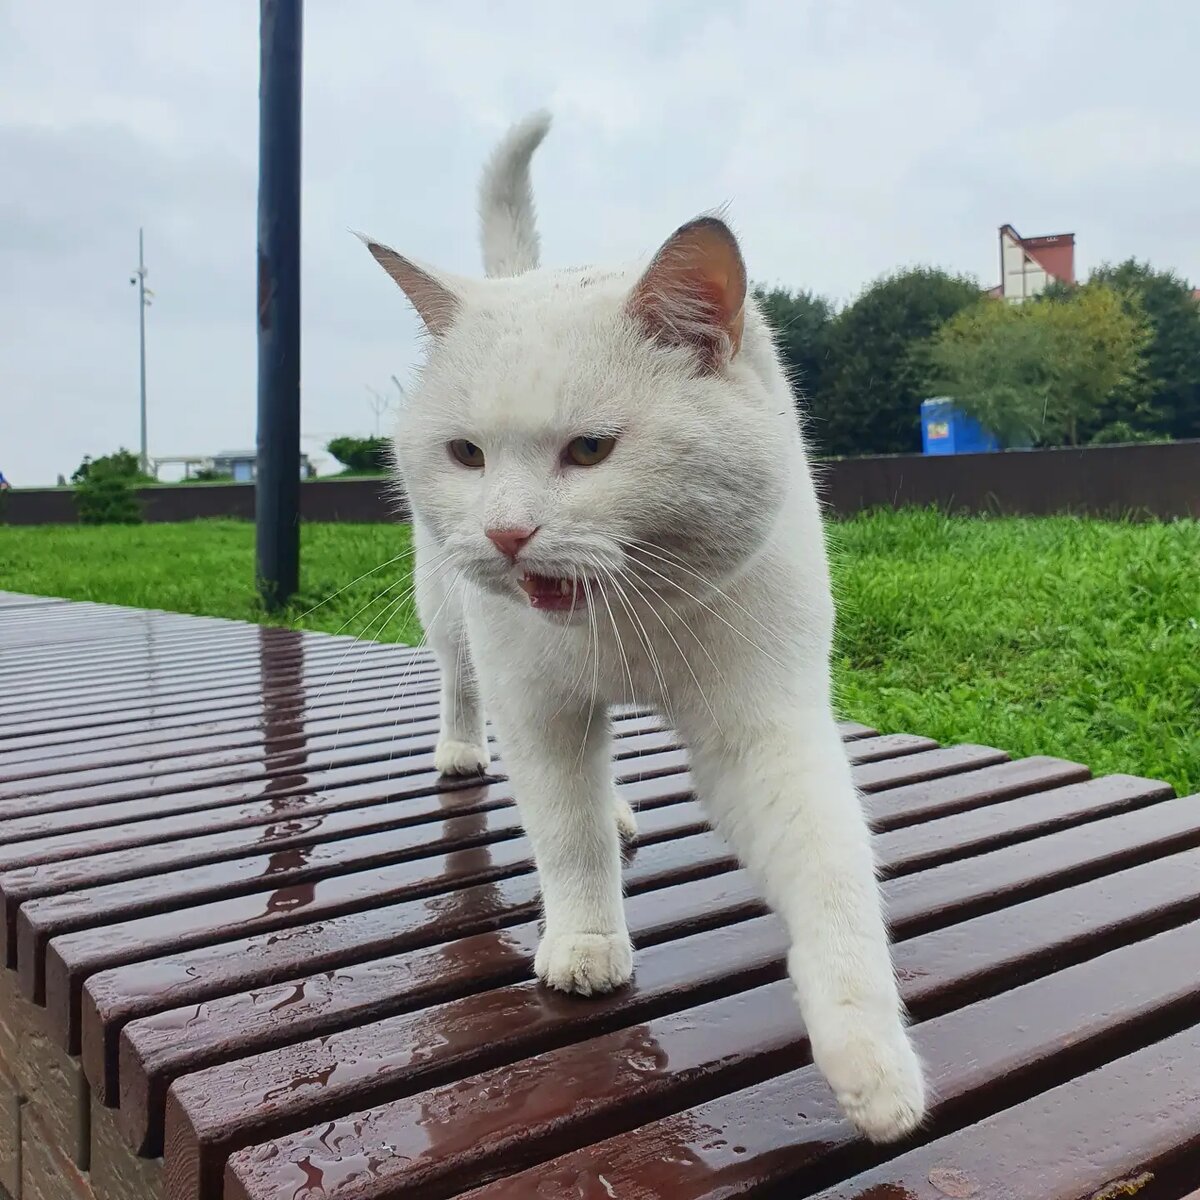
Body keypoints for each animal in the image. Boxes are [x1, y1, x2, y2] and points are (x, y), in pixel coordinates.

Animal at [364, 112, 926, 1142]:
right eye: (466, 454)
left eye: (591, 450)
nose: (507, 533)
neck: (631, 615)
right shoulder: (540, 709)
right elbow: (567, 832)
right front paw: (586, 942)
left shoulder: (766, 726)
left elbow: (833, 876)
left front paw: (872, 1065)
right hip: (445, 606)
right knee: (461, 683)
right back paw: (462, 750)